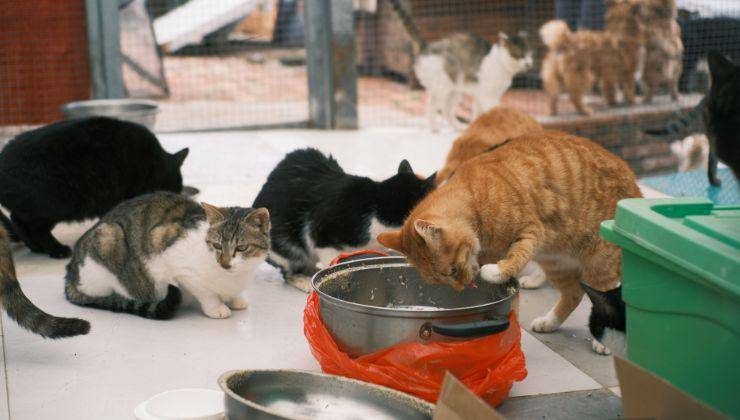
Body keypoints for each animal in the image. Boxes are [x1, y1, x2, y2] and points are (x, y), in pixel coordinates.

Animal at [62, 192, 266, 320]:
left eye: (241, 247)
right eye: (216, 245)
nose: (225, 264)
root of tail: (70, 270)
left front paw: (235, 299)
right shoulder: (173, 258)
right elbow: (205, 292)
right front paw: (216, 307)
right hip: (108, 238)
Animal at [376, 131, 640, 354]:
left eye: (451, 270)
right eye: (439, 280)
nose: (461, 288)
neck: (475, 202)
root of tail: (633, 181)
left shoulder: (531, 231)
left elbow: (516, 256)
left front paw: (494, 271)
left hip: (599, 263)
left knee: (604, 296)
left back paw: (603, 342)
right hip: (556, 263)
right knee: (574, 293)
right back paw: (549, 321)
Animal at [388, 0, 532, 131]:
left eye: (529, 53)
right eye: (519, 54)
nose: (528, 63)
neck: (502, 65)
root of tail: (427, 47)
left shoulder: (483, 95)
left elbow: (479, 114)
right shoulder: (488, 95)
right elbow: (496, 111)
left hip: (455, 91)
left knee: (446, 111)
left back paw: (458, 127)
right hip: (442, 88)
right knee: (432, 107)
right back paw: (433, 129)